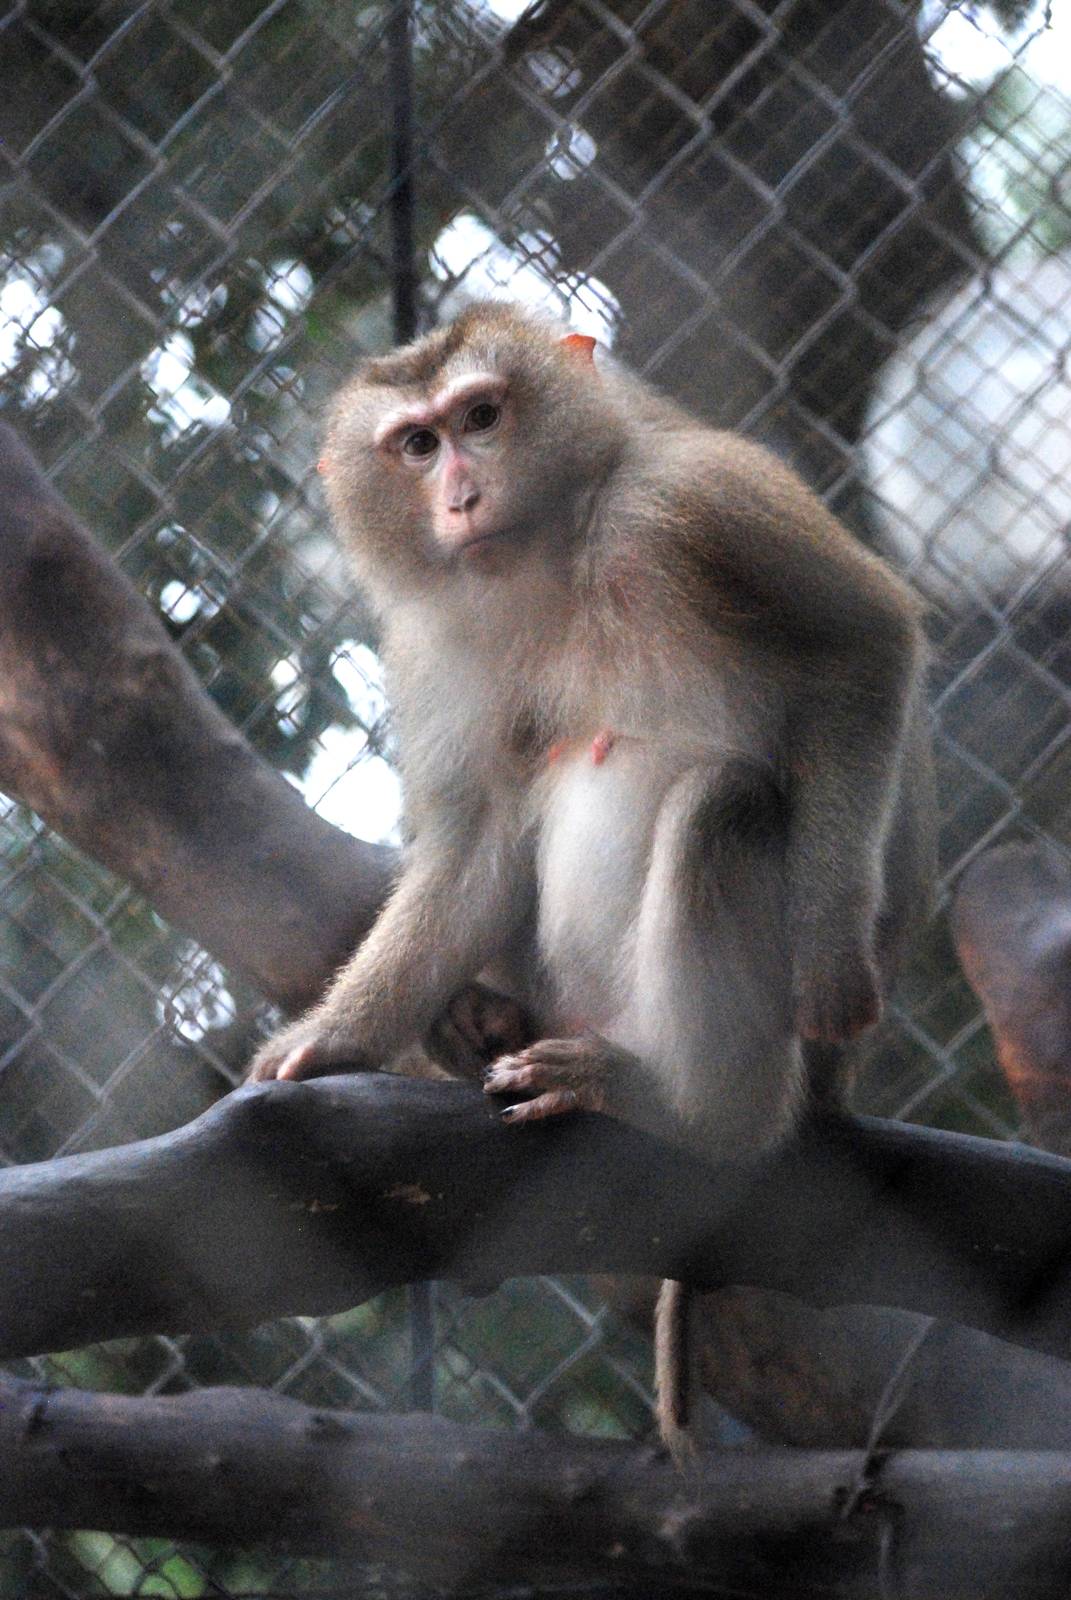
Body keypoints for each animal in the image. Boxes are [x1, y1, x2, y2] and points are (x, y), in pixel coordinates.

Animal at [248, 301, 934, 1456]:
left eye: (482, 417)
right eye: (417, 445)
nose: (460, 495)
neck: (553, 557)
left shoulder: (695, 500)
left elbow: (864, 644)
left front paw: (833, 954)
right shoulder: (433, 645)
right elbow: (476, 844)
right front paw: (335, 1036)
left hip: (769, 1057)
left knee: (724, 808)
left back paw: (694, 1111)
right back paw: (483, 1027)